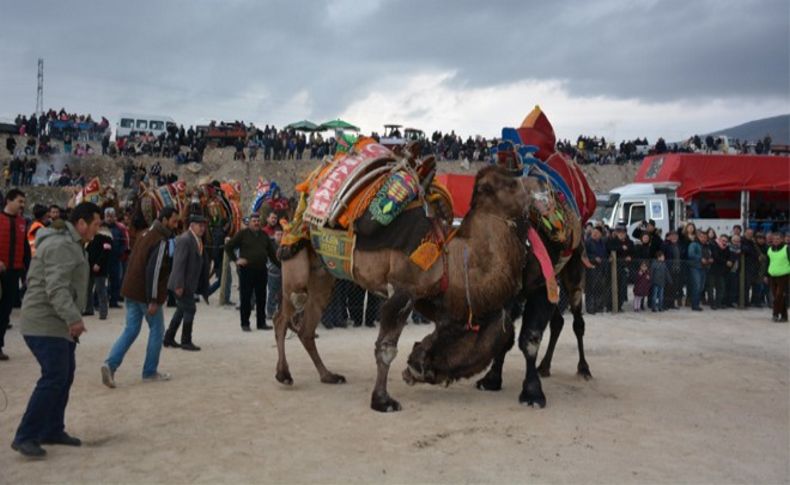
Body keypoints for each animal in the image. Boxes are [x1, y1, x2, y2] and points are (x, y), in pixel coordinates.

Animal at [276, 164, 532, 410]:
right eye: (511, 183)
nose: (534, 189)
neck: (450, 256)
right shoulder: (402, 290)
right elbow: (386, 349)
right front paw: (382, 401)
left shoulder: (423, 296)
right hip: (294, 259)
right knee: (285, 313)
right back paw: (284, 374)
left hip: (322, 275)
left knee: (306, 328)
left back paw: (328, 375)